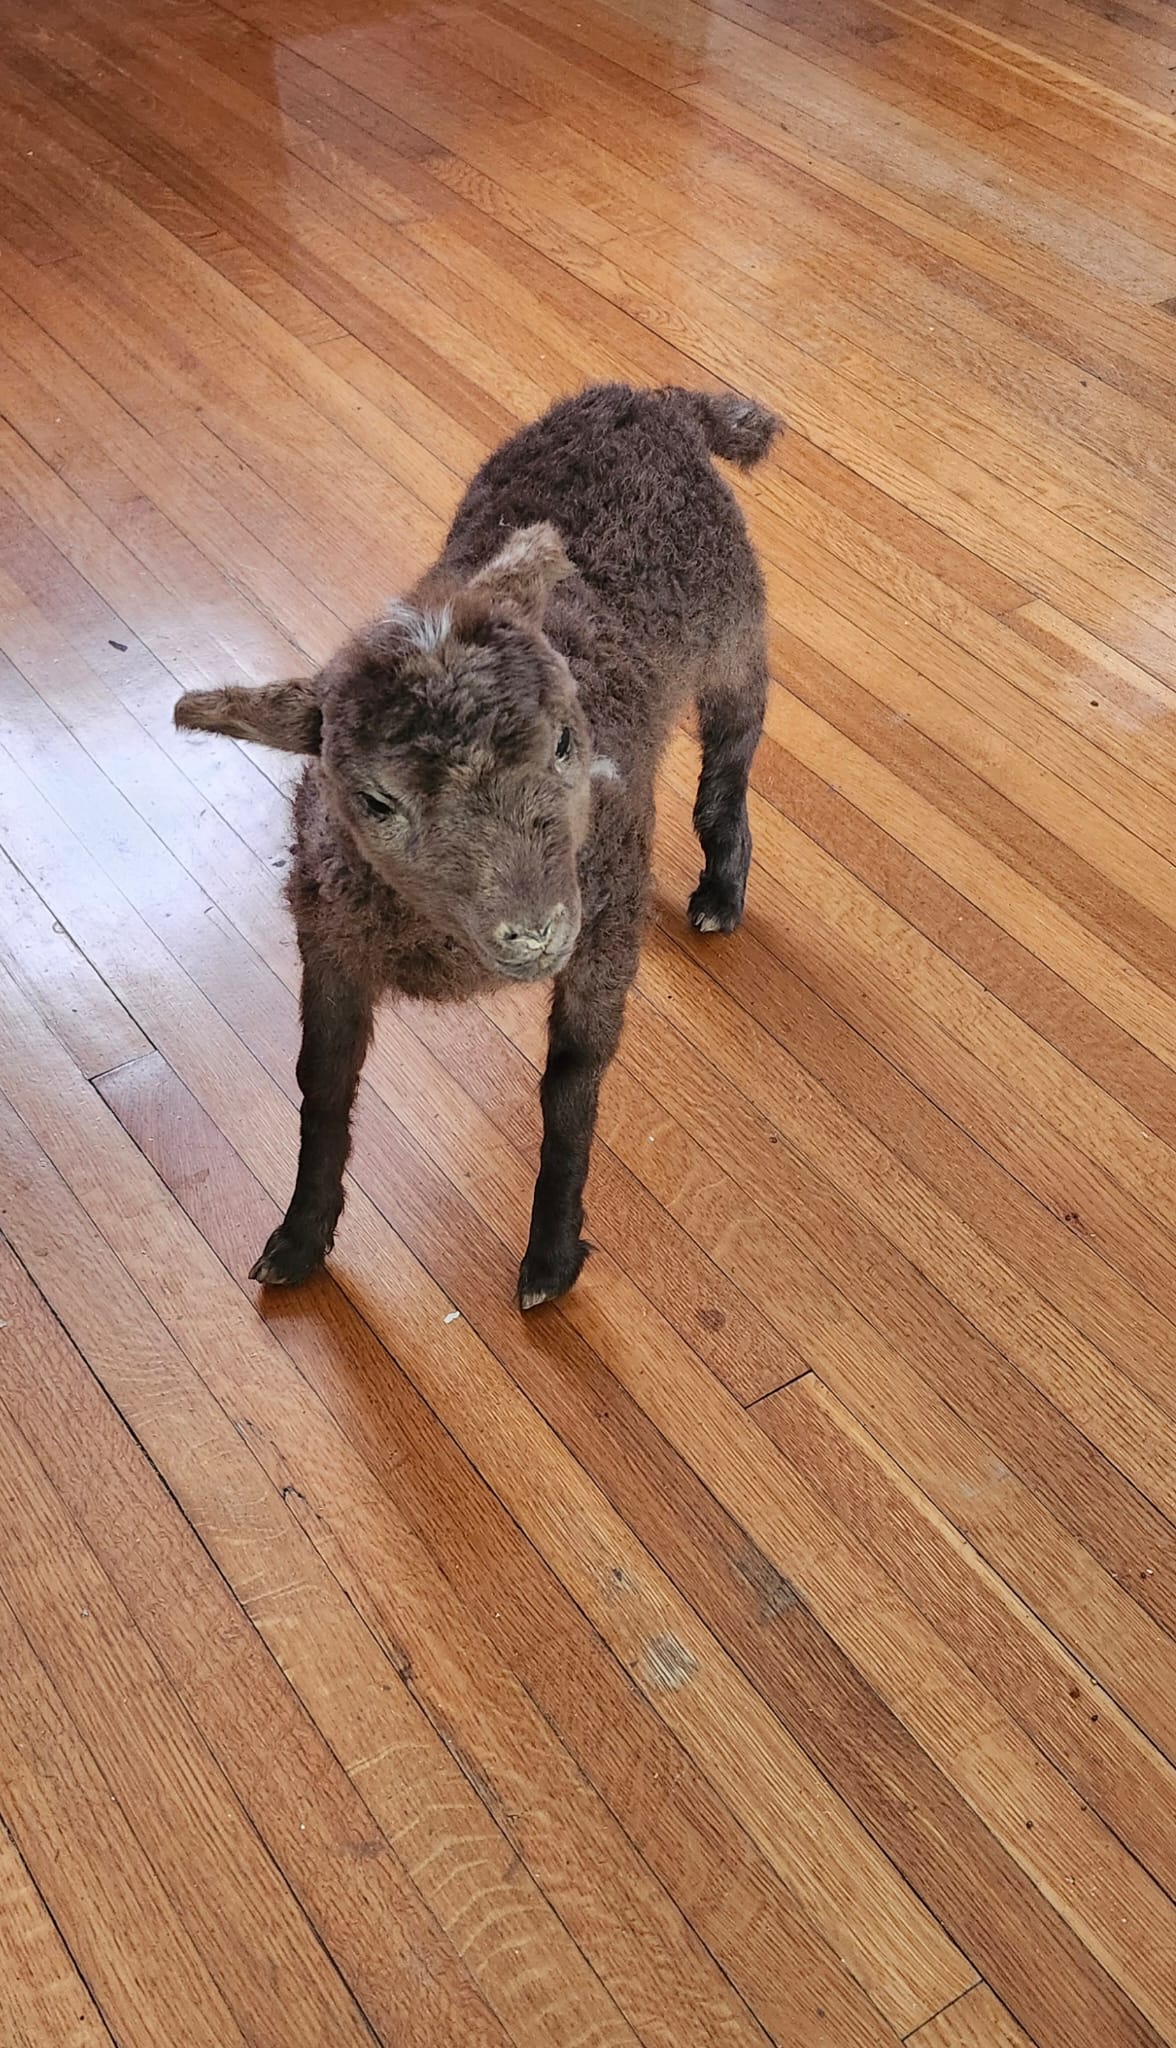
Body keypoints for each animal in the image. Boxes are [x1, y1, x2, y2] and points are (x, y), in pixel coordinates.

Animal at [175, 382, 779, 1309]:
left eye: (567, 741)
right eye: (375, 800)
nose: (536, 931)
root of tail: (652, 397)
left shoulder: (604, 931)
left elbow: (572, 1088)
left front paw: (552, 1256)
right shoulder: (332, 940)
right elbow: (323, 1083)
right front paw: (300, 1236)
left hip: (734, 629)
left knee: (736, 747)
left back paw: (721, 884)